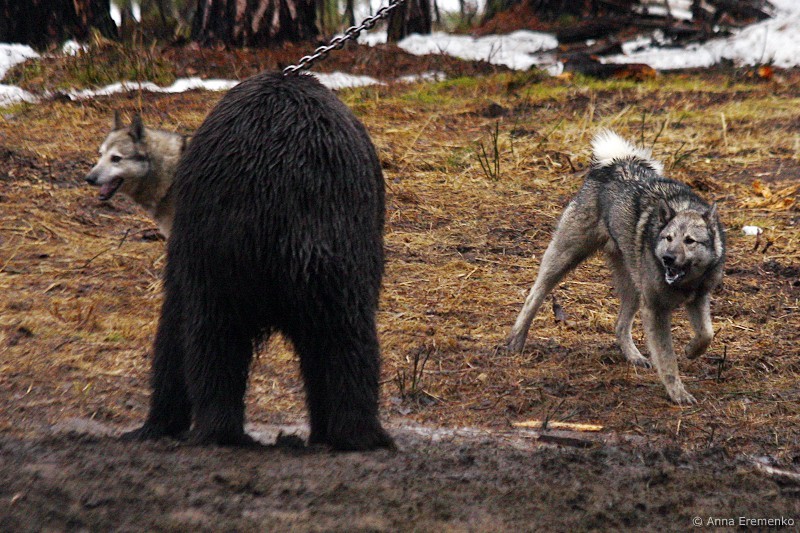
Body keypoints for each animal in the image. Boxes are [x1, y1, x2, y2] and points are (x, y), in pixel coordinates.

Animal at [122, 72, 394, 451]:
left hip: (224, 247)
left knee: (215, 335)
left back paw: (220, 431)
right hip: (334, 248)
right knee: (346, 336)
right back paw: (359, 434)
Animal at [508, 130, 725, 404]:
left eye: (689, 241)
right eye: (668, 238)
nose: (667, 258)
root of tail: (617, 162)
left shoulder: (698, 299)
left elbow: (707, 334)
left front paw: (691, 350)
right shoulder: (655, 310)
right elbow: (667, 359)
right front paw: (677, 392)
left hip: (632, 287)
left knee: (620, 326)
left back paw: (633, 355)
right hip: (563, 258)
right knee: (534, 295)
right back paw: (516, 339)